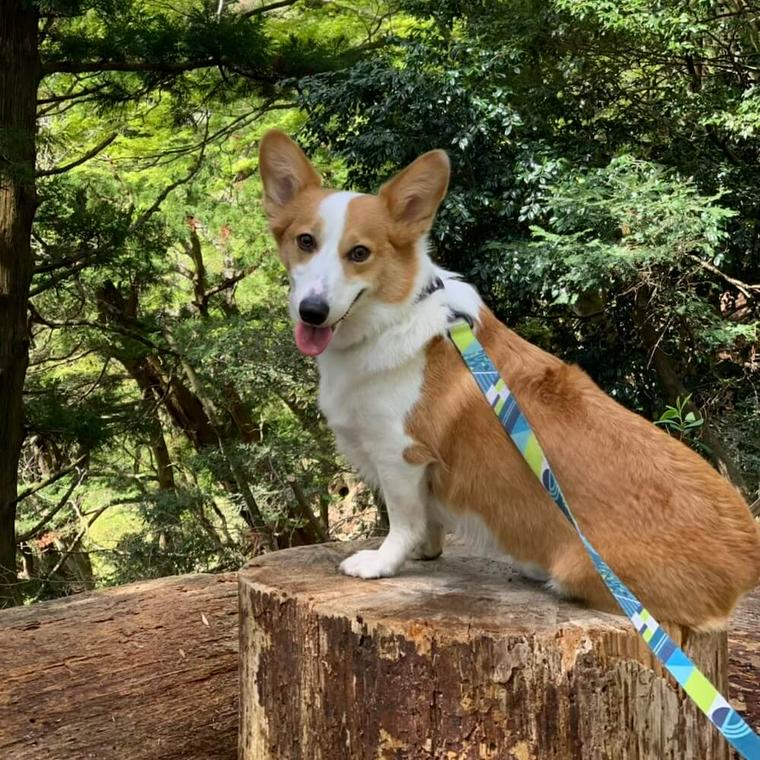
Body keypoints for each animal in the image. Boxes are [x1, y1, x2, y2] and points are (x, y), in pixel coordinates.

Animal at [256, 129, 760, 628]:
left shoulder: (400, 455)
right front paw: (426, 553)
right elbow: (428, 521)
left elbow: (403, 521)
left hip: (584, 570)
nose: (312, 311)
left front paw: (381, 563)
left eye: (359, 253)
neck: (387, 319)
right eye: (305, 241)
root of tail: (747, 560)